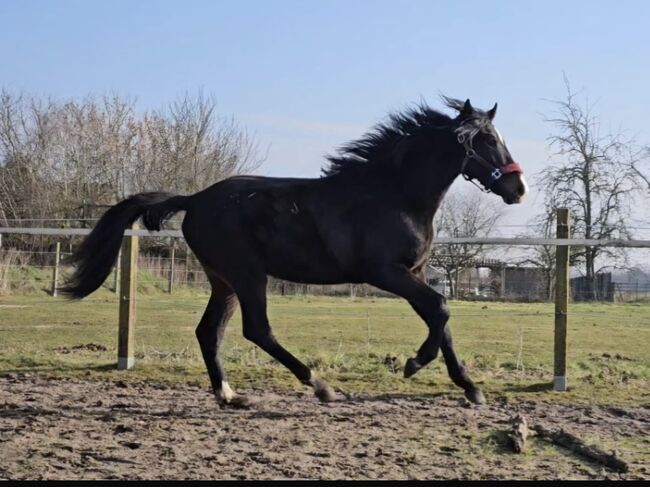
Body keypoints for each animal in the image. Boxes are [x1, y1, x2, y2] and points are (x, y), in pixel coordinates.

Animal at [60, 97, 528, 406]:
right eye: (487, 139)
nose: (517, 188)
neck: (393, 194)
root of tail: (194, 200)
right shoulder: (386, 273)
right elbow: (442, 310)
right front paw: (414, 364)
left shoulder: (412, 272)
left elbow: (440, 317)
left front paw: (470, 388)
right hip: (247, 274)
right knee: (257, 330)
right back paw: (320, 385)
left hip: (223, 281)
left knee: (209, 331)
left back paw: (229, 395)